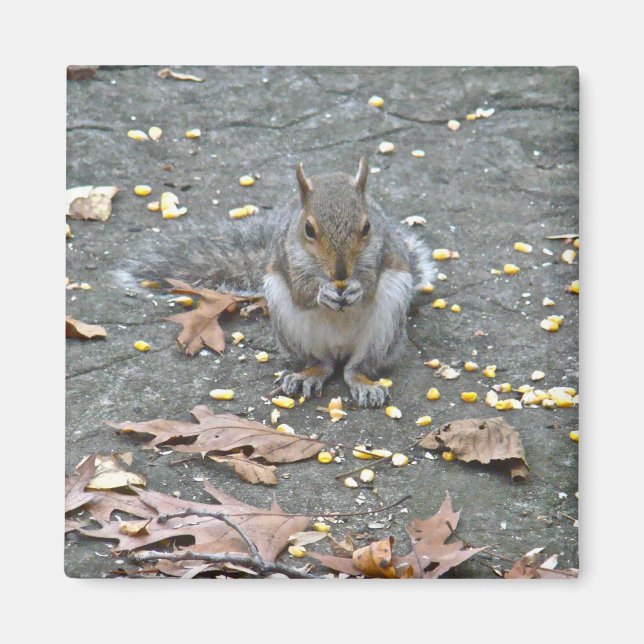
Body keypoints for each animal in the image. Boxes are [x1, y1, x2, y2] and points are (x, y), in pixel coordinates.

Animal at [119, 158, 435, 407]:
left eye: (367, 227)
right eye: (308, 229)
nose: (341, 273)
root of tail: (339, 350)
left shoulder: (384, 253)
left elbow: (370, 286)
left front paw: (357, 289)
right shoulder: (286, 257)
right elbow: (301, 292)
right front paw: (321, 294)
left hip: (385, 328)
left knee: (355, 367)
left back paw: (364, 383)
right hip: (289, 324)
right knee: (321, 364)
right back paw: (306, 376)